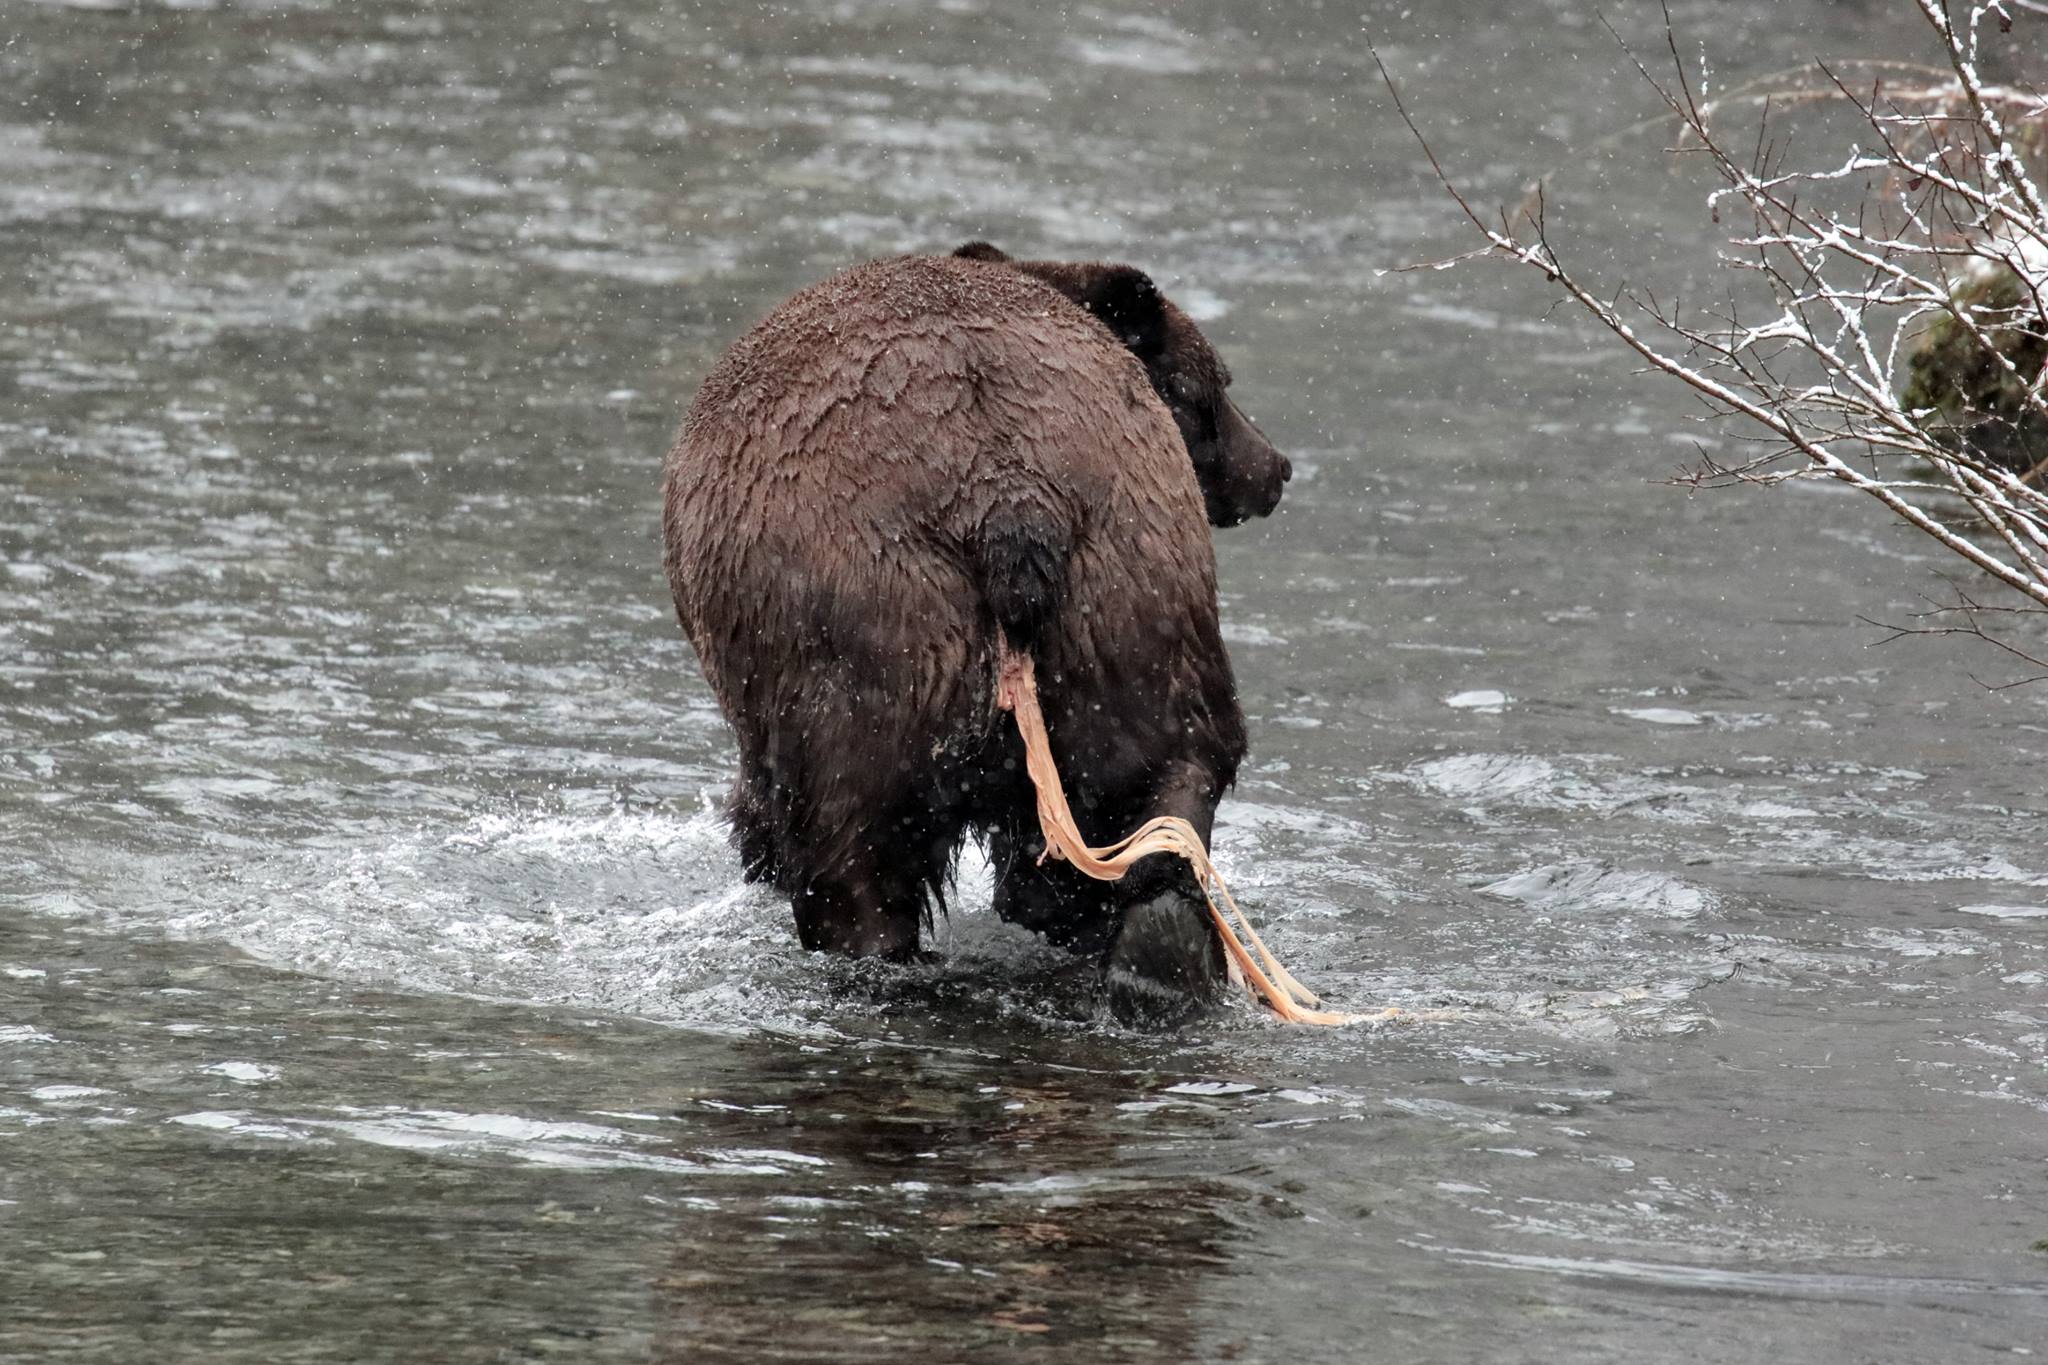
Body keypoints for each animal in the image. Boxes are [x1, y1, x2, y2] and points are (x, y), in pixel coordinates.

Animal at [661, 243, 1289, 1022]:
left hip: (868, 617)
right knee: (1161, 778)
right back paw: (1158, 953)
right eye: (1214, 387)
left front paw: (758, 853)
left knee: (851, 842)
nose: (1275, 467)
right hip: (1129, 588)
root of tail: (1007, 491)